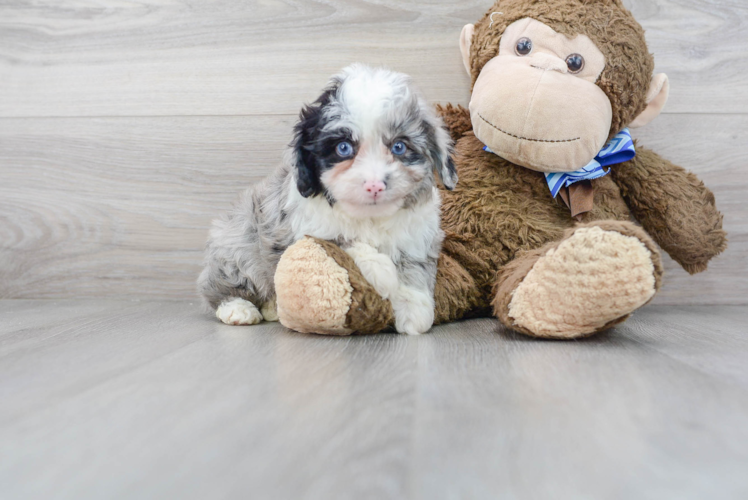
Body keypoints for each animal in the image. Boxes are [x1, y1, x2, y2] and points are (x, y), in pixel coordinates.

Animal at [199, 63, 456, 336]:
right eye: (343, 148)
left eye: (399, 147)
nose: (374, 185)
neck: (370, 217)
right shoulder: (309, 231)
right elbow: (345, 243)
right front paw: (383, 272)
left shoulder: (417, 236)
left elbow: (414, 267)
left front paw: (414, 309)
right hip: (237, 248)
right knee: (219, 286)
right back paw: (238, 309)